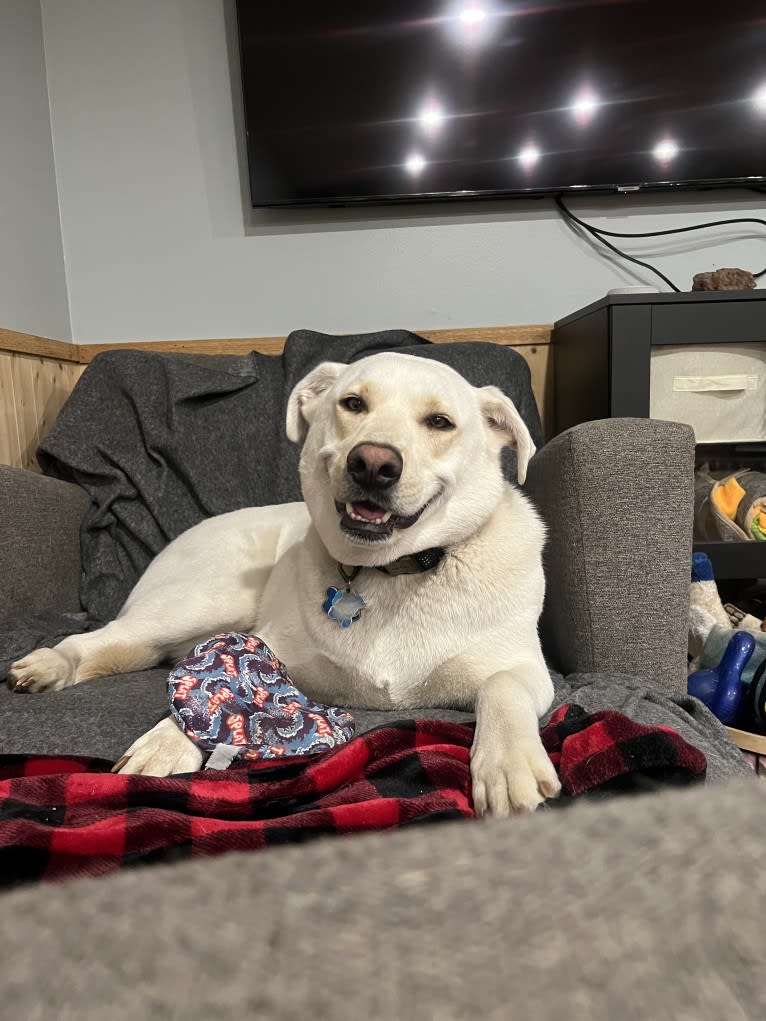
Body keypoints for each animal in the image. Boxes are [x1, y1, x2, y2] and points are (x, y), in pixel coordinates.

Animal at [9, 355, 559, 816]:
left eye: (440, 422)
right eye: (353, 403)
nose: (373, 463)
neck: (391, 571)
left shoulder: (526, 669)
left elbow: (502, 688)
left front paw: (508, 767)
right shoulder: (271, 647)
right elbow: (222, 686)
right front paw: (168, 740)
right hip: (202, 602)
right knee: (100, 639)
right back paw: (49, 663)